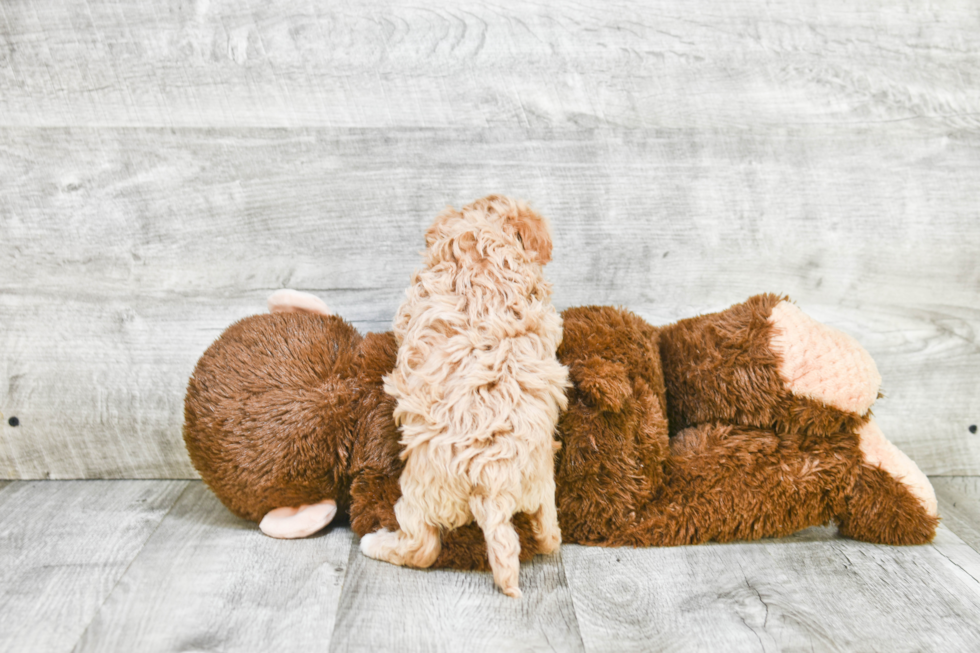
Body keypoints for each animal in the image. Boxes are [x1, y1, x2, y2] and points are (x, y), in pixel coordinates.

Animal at [362, 194, 572, 596]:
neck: (483, 246)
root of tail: (494, 484)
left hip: (420, 495)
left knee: (422, 547)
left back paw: (375, 543)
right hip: (541, 485)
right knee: (550, 531)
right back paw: (543, 538)